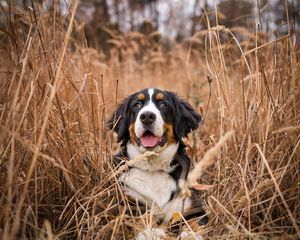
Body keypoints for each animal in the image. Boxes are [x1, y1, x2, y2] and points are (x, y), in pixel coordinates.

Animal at [108, 88, 209, 238]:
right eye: (137, 105)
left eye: (163, 104)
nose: (147, 116)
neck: (153, 167)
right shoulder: (129, 205)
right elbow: (141, 221)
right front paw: (152, 233)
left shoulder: (193, 207)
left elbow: (194, 224)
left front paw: (190, 235)